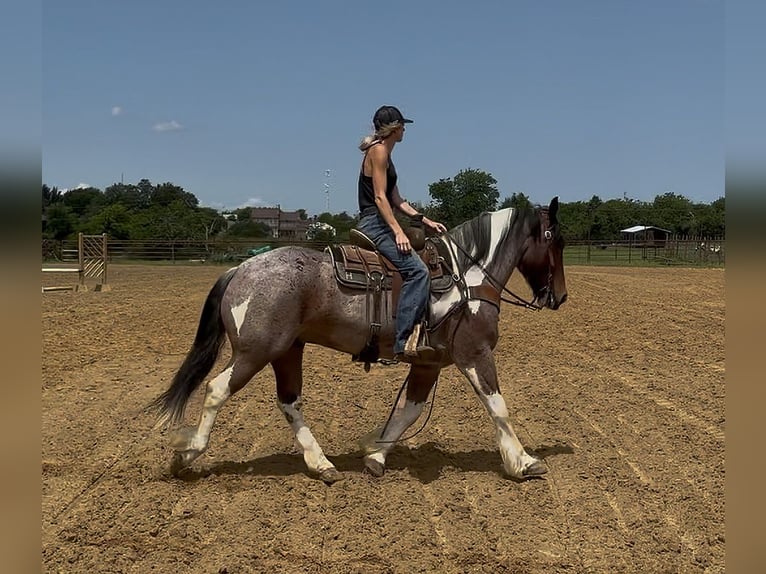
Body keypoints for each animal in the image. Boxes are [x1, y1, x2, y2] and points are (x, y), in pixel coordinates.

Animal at [149, 197, 568, 484]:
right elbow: (498, 406)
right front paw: (524, 462)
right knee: (218, 389)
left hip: (287, 351)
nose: (560, 297)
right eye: (555, 240)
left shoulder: (428, 362)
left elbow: (410, 410)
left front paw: (375, 455)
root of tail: (240, 268)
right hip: (255, 352)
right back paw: (187, 455)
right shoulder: (474, 354)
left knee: (289, 402)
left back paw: (322, 464)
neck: (468, 278)